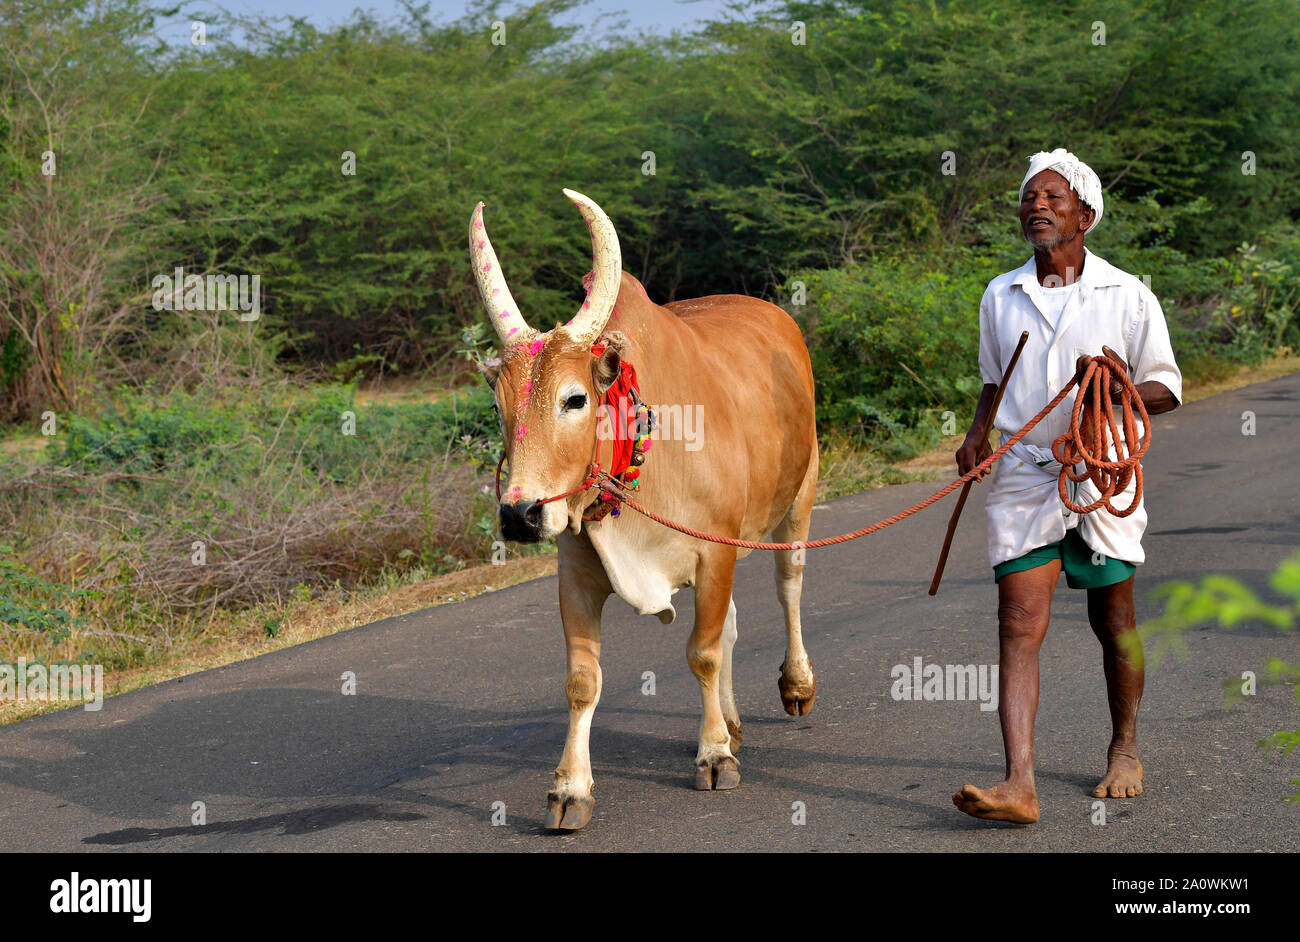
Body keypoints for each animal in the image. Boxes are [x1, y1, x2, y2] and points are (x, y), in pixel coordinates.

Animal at [469, 188, 819, 830]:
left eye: (574, 398)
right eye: (500, 405)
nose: (519, 514)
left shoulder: (714, 555)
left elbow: (702, 653)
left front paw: (714, 757)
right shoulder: (577, 574)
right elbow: (583, 682)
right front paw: (570, 789)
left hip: (800, 493)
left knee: (790, 583)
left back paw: (796, 685)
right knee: (733, 625)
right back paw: (732, 723)